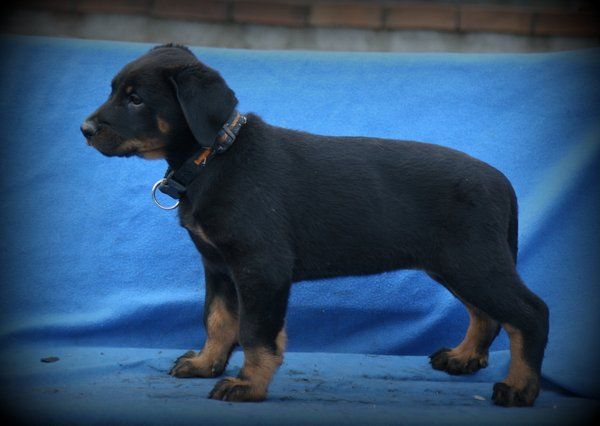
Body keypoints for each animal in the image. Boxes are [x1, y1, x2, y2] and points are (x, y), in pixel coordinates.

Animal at [81, 44, 549, 407]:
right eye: (113, 90)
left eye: (136, 99)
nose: (84, 129)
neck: (214, 157)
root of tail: (501, 181)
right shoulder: (218, 266)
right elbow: (217, 320)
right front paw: (205, 363)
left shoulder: (260, 268)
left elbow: (255, 332)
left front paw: (248, 385)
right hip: (454, 265)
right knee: (486, 314)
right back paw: (463, 357)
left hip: (473, 263)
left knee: (530, 313)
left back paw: (520, 388)